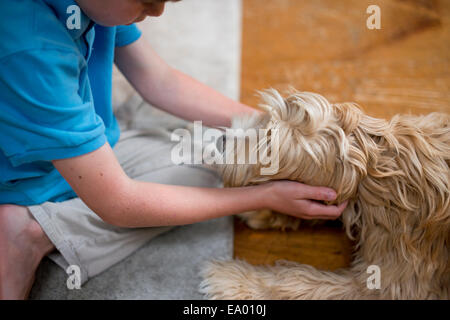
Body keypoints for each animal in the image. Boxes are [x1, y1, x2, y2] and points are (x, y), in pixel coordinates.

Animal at [201, 88, 450, 300]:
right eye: (265, 120)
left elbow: (298, 281)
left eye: (268, 150)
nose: (222, 140)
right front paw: (261, 210)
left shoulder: (392, 282)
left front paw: (230, 278)